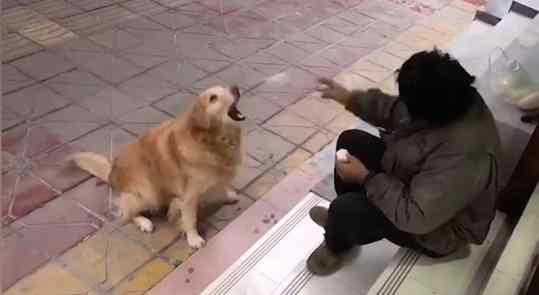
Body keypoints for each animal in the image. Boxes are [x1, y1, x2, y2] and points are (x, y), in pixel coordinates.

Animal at [69, 86, 245, 250]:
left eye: (225, 87)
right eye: (213, 98)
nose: (235, 88)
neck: (213, 142)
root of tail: (111, 171)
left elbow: (220, 187)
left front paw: (228, 195)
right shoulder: (189, 194)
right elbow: (190, 219)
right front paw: (193, 238)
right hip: (147, 192)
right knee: (125, 213)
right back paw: (144, 222)